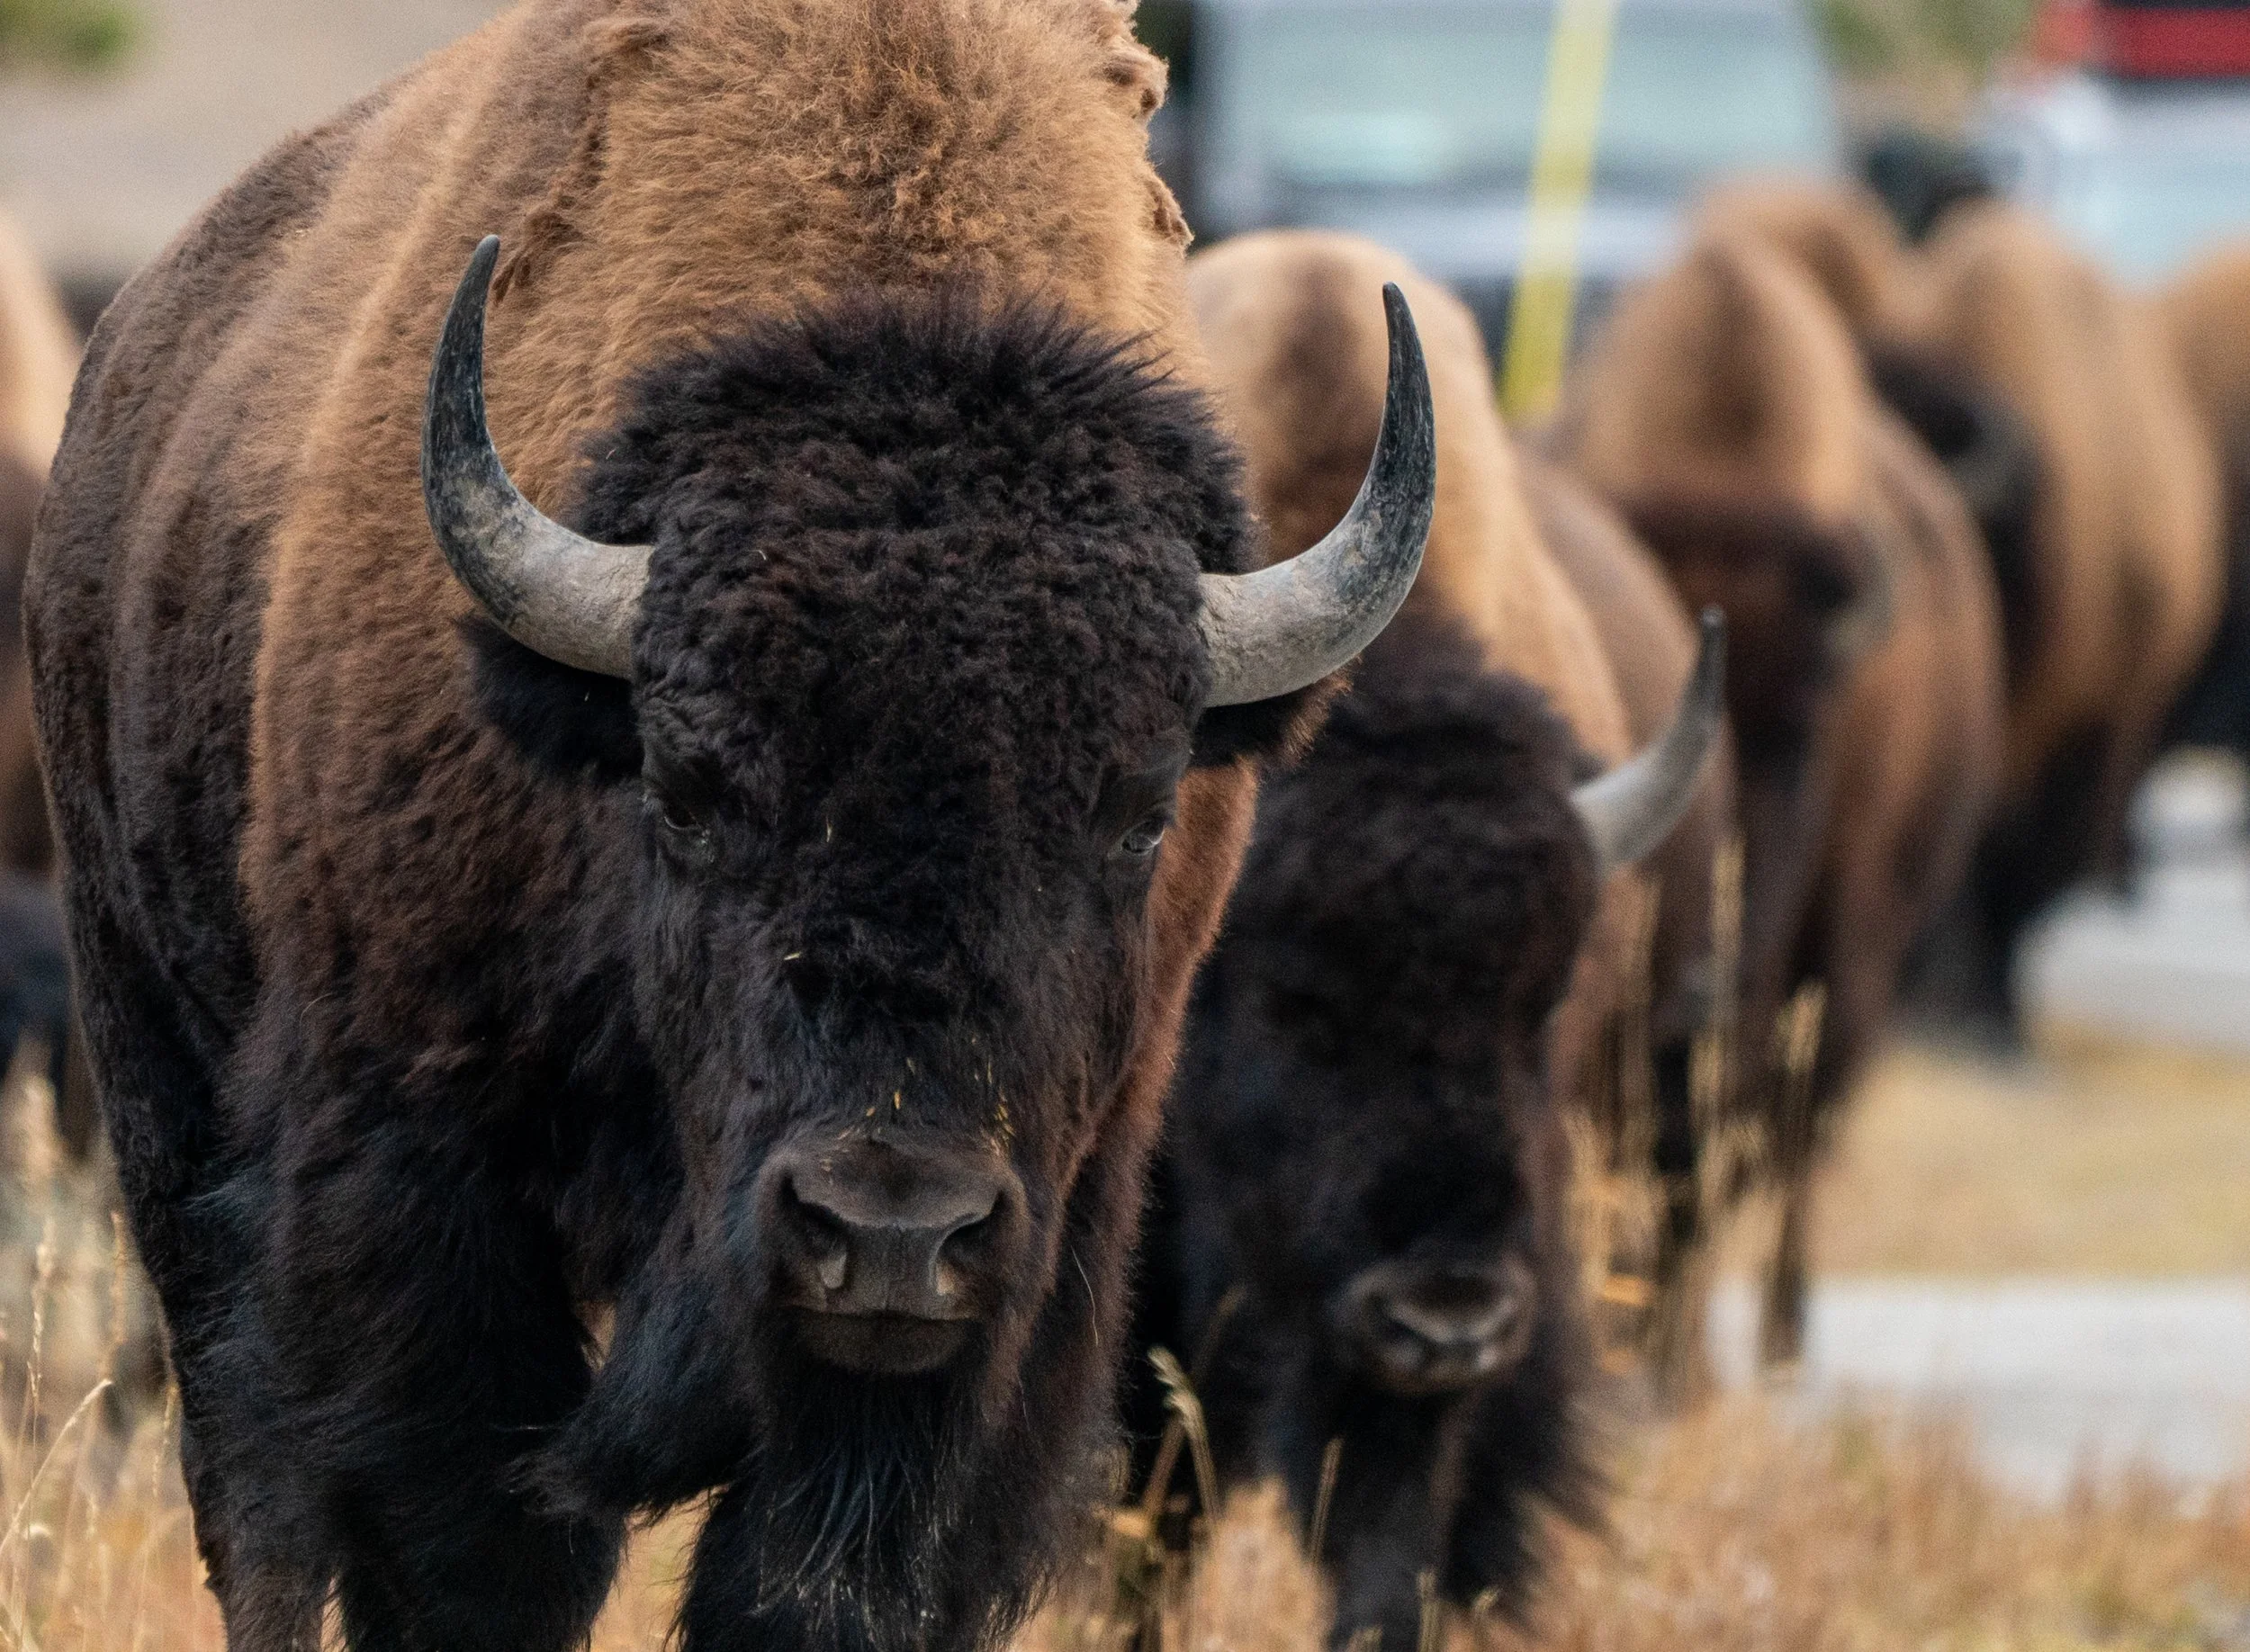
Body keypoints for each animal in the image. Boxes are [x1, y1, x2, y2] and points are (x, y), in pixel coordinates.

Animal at [25, 6, 1438, 1650]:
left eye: (1143, 813)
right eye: (688, 792)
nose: (889, 1233)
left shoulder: (1033, 1263)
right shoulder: (415, 1173)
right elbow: (463, 1550)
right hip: (158, 1083)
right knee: (250, 1488)